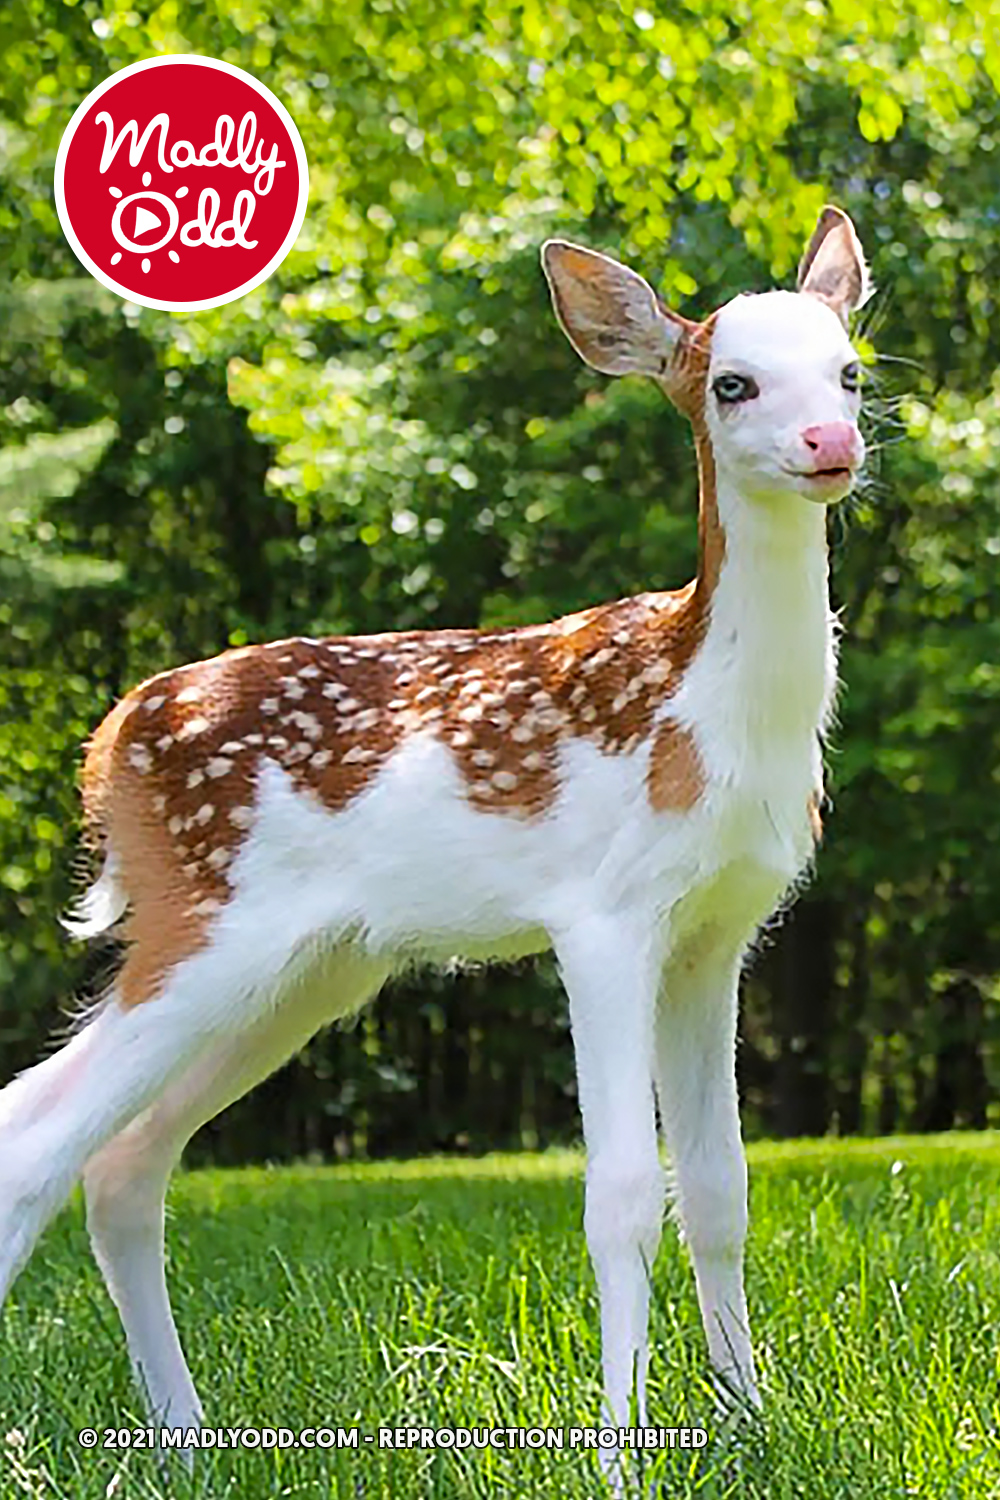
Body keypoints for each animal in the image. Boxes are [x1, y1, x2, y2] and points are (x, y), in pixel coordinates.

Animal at [0, 205, 869, 1468]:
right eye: (731, 383)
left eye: (849, 370)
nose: (829, 442)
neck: (707, 707)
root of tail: (109, 742)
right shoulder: (603, 914)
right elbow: (619, 1190)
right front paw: (617, 1450)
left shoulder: (715, 936)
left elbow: (718, 1188)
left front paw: (750, 1419)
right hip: (204, 918)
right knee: (35, 1133)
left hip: (306, 967)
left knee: (121, 1158)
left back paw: (186, 1433)